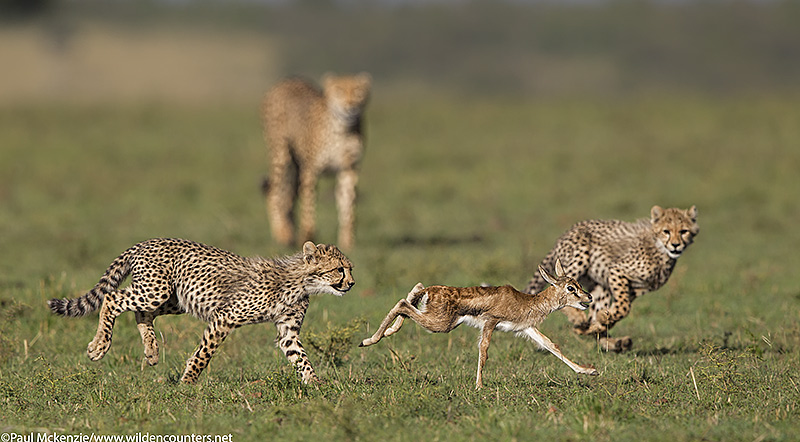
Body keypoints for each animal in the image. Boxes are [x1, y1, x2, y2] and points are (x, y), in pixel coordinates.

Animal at [47, 238, 354, 384]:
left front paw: (315, 383)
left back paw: (151, 351)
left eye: (349, 268)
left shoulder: (287, 331)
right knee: (112, 298)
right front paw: (188, 382)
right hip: (155, 291)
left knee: (141, 313)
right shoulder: (225, 317)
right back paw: (99, 346)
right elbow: (204, 354)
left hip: (173, 299)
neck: (302, 281)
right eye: (340, 269)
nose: (351, 283)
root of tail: (145, 242)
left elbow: (301, 357)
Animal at [264, 74, 374, 250]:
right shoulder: (311, 171)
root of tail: (289, 80)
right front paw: (307, 238)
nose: (350, 107)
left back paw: (290, 233)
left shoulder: (348, 170)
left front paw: (347, 243)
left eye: (358, 91)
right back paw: (282, 234)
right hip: (281, 156)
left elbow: (348, 208)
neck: (342, 129)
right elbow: (308, 208)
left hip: (297, 167)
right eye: (339, 91)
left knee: (288, 198)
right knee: (275, 193)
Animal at [520, 205, 696, 352]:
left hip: (599, 286)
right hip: (580, 258)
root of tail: (570, 230)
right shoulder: (617, 270)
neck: (661, 252)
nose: (676, 245)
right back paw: (579, 318)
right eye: (666, 231)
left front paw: (601, 321)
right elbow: (623, 308)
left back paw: (613, 341)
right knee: (560, 285)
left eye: (684, 231)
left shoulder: (636, 289)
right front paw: (599, 320)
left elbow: (619, 310)